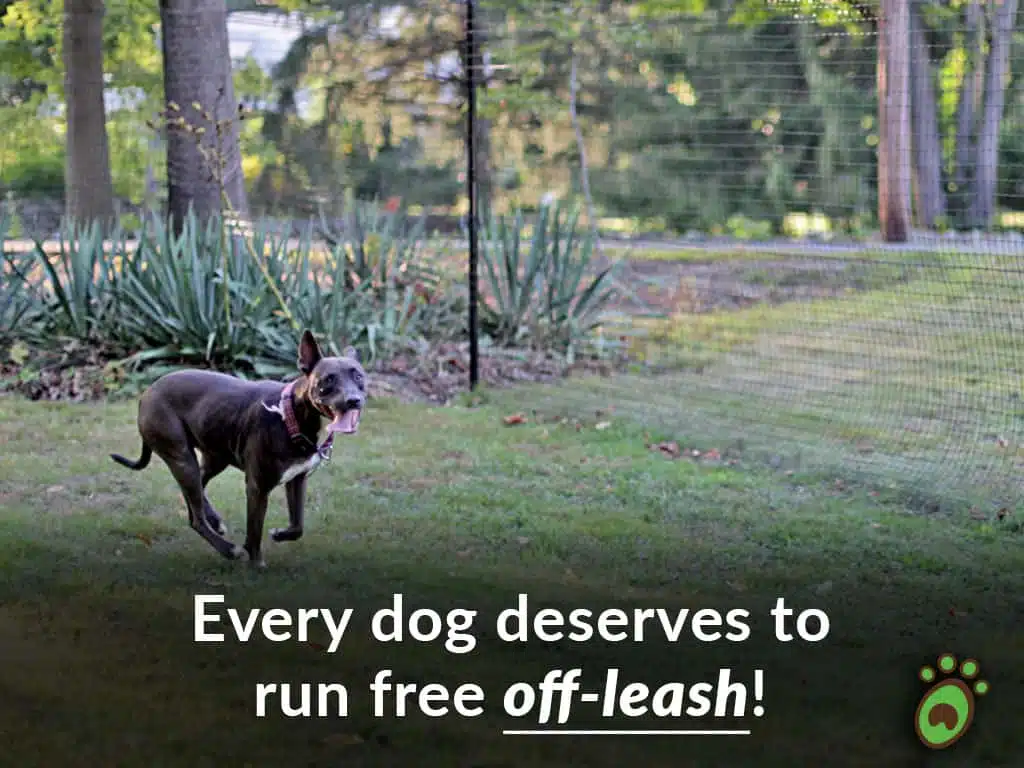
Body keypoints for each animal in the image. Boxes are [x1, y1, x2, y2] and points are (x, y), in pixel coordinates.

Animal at [111, 327, 368, 569]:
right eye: (328, 379)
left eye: (359, 376)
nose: (353, 400)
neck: (291, 414)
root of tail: (147, 392)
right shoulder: (257, 487)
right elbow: (254, 529)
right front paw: (255, 563)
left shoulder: (298, 478)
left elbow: (298, 526)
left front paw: (279, 534)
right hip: (181, 457)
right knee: (196, 517)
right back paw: (227, 548)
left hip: (214, 457)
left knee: (197, 491)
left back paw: (214, 520)